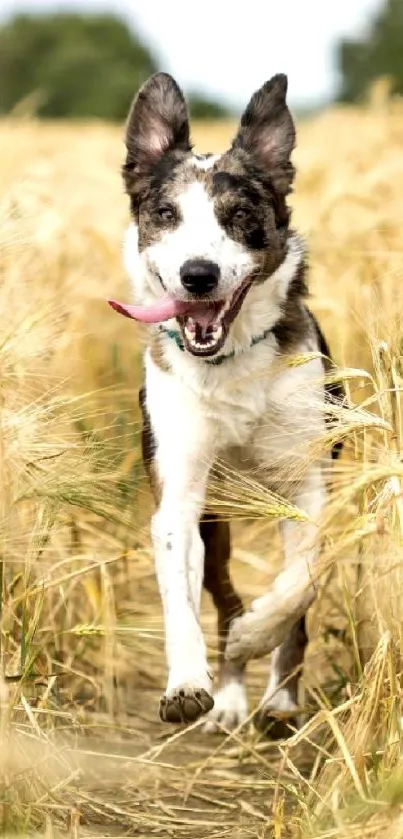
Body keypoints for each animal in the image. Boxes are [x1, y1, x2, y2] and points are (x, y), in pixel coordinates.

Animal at [110, 72, 344, 736]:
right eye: (166, 215)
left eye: (239, 216)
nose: (198, 275)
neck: (230, 362)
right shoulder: (181, 497)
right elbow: (180, 599)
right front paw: (189, 684)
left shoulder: (307, 486)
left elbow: (299, 584)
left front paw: (257, 636)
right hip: (217, 522)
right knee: (219, 592)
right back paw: (231, 697)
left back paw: (278, 698)